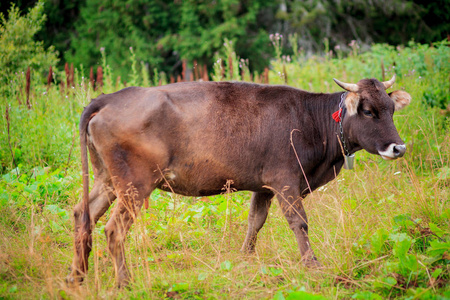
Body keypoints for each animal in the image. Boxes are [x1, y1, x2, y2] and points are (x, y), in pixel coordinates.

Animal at [67, 74, 412, 286]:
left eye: (391, 109)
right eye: (368, 111)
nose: (398, 147)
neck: (310, 121)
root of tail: (110, 98)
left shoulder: (264, 186)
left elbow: (254, 221)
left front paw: (245, 259)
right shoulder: (285, 180)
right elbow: (299, 222)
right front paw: (312, 265)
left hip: (107, 180)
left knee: (83, 214)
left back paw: (76, 276)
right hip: (135, 185)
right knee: (113, 229)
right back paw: (124, 282)